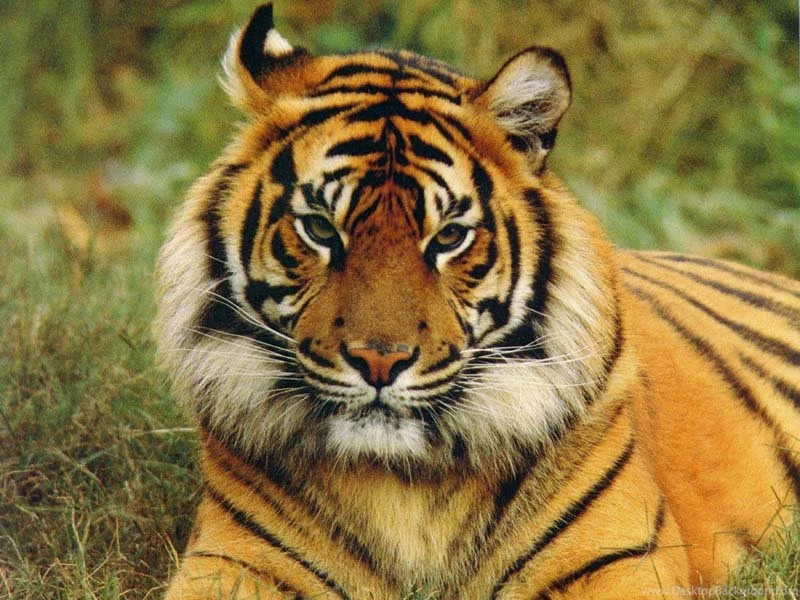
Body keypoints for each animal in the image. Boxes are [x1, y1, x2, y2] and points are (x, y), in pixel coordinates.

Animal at [155, 4, 800, 599]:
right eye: (319, 228)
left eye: (448, 238)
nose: (380, 361)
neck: (403, 489)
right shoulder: (235, 562)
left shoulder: (617, 562)